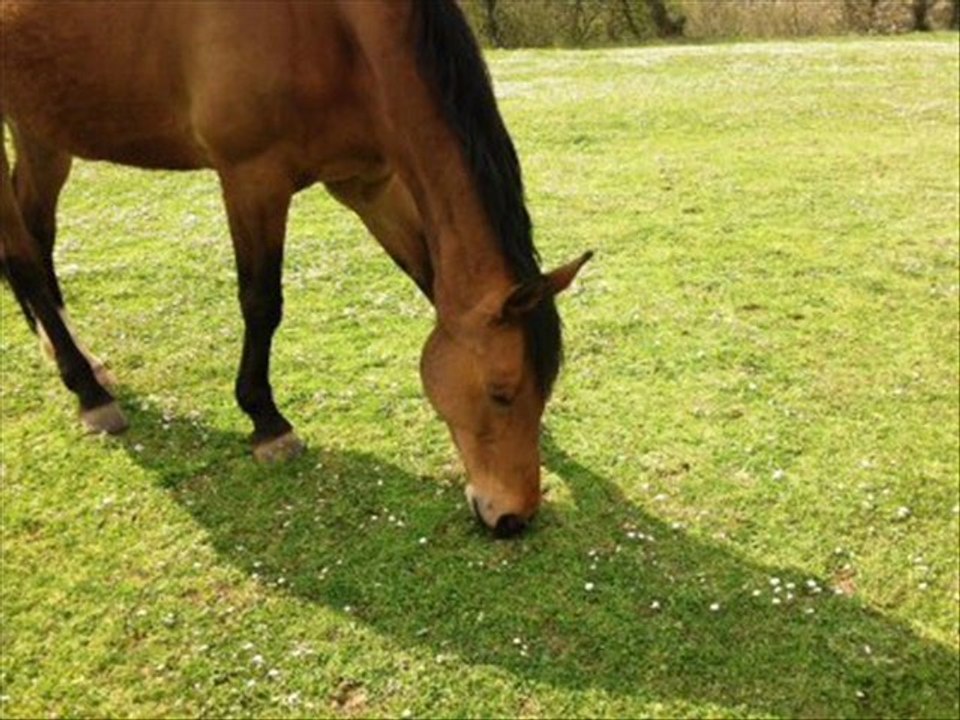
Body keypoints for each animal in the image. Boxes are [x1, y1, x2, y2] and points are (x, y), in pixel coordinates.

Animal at [0, 0, 590, 537]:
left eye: (544, 385)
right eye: (500, 393)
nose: (514, 517)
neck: (330, 27)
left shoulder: (367, 185)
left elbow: (427, 278)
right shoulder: (252, 179)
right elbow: (262, 303)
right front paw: (266, 421)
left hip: (41, 125)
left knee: (38, 233)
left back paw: (72, 357)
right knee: (21, 255)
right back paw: (88, 390)